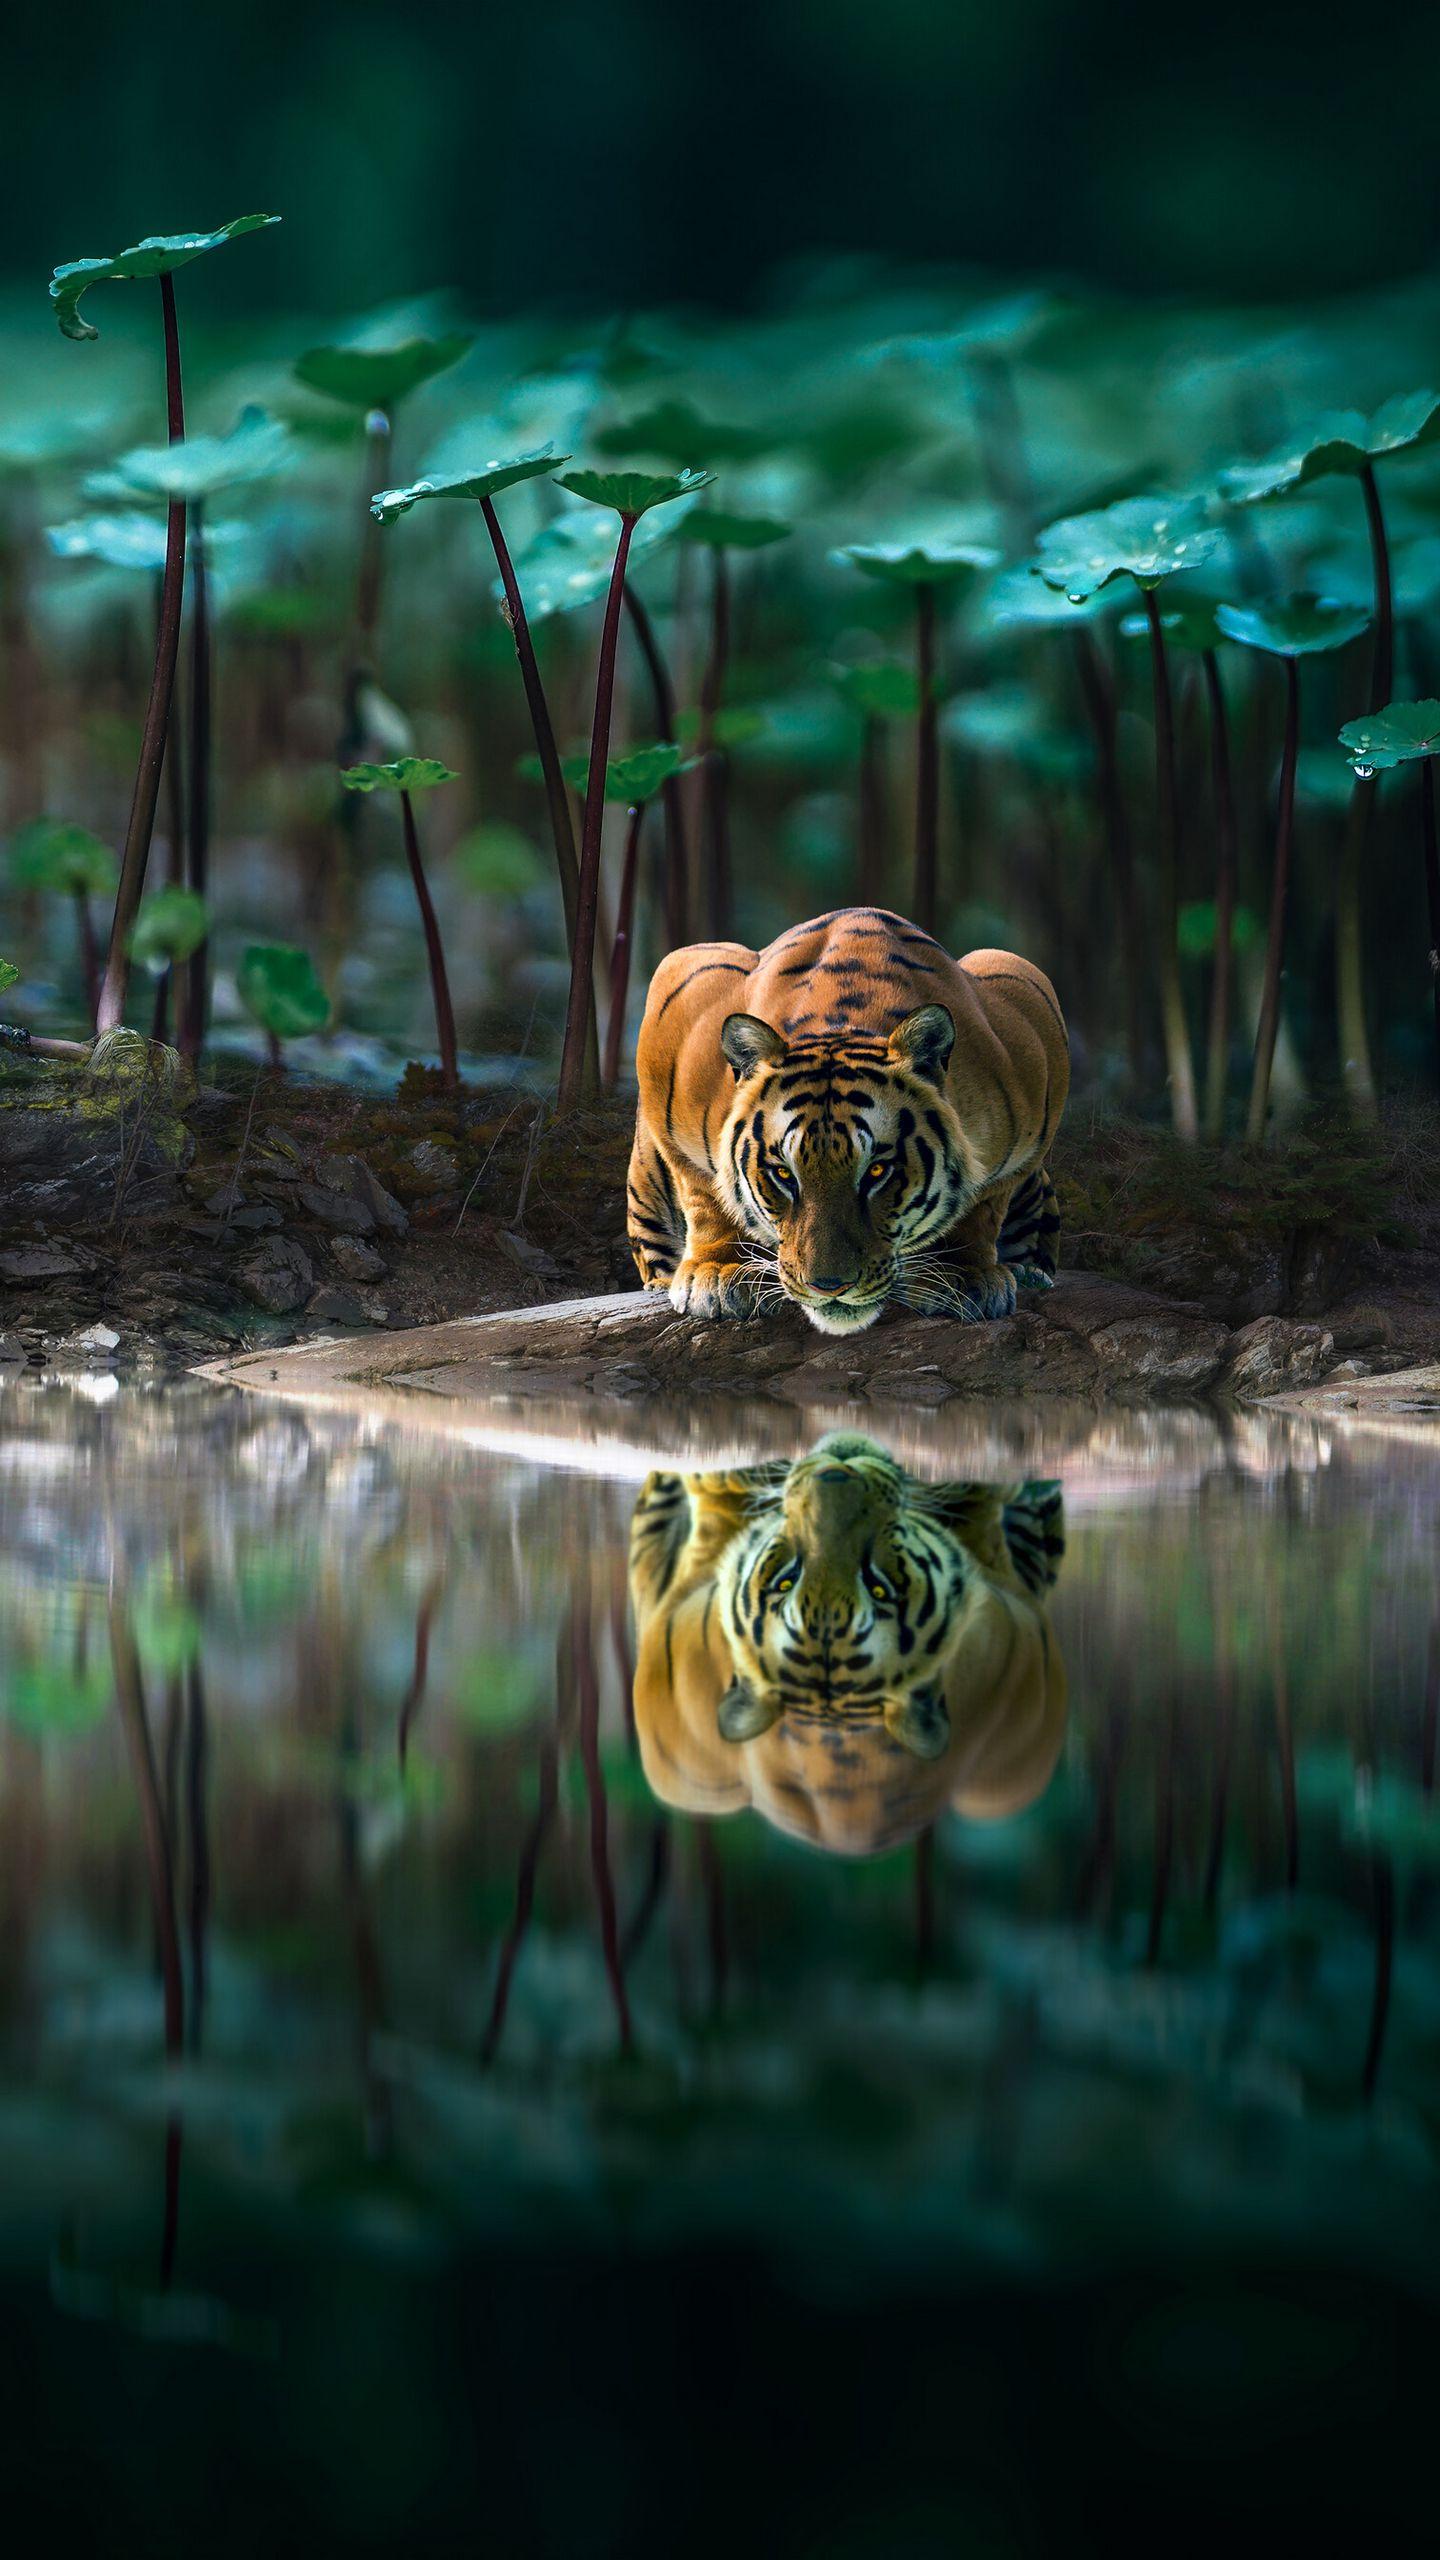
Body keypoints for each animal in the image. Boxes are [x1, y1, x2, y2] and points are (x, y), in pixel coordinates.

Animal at [627, 905, 1068, 1335]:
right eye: (783, 1174)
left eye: (876, 1172)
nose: (828, 1286)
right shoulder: (680, 990)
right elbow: (705, 1191)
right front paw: (721, 1272)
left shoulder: (1030, 1010)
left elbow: (983, 1203)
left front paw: (961, 1274)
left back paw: (1029, 1273)